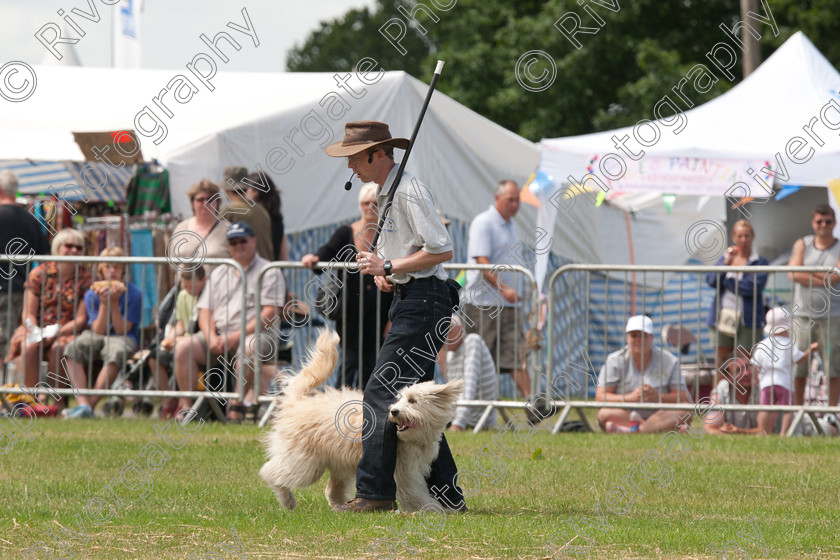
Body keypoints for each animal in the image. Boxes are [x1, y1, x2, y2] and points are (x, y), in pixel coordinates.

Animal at [260, 330, 462, 516]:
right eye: (399, 399)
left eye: (412, 401)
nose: (394, 411)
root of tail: (298, 402)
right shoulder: (404, 472)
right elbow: (413, 493)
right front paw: (432, 509)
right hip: (304, 461)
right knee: (271, 472)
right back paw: (287, 500)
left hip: (337, 463)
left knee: (331, 489)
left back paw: (340, 506)